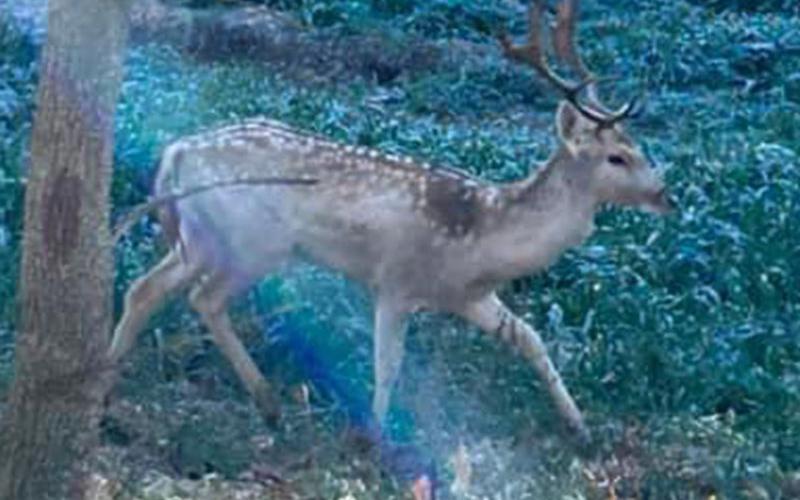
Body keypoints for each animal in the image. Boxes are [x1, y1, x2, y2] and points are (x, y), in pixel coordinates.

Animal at [108, 0, 673, 447]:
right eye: (617, 157)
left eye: (638, 146)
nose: (665, 194)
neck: (485, 237)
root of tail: (176, 150)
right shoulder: (396, 280)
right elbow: (388, 364)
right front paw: (376, 438)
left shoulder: (471, 297)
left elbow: (530, 338)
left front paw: (581, 429)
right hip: (253, 242)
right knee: (204, 298)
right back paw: (266, 402)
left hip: (200, 235)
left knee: (146, 287)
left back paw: (113, 370)